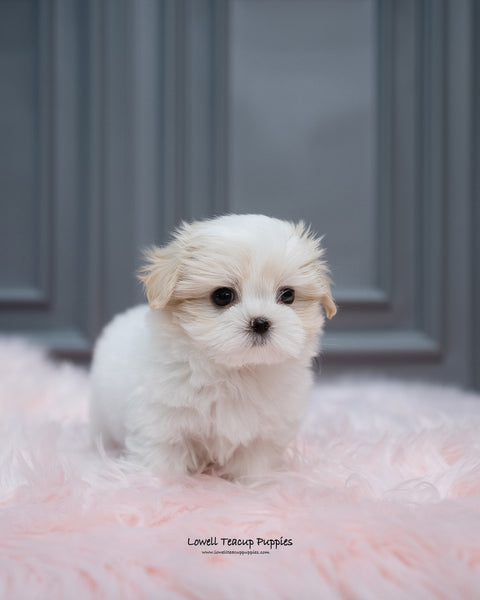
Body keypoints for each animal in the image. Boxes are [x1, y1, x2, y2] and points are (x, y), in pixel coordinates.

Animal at [91, 213, 338, 480]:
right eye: (223, 296)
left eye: (288, 295)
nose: (261, 322)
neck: (236, 372)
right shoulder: (159, 424)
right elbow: (161, 460)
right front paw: (157, 483)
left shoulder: (263, 434)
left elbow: (254, 463)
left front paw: (256, 484)